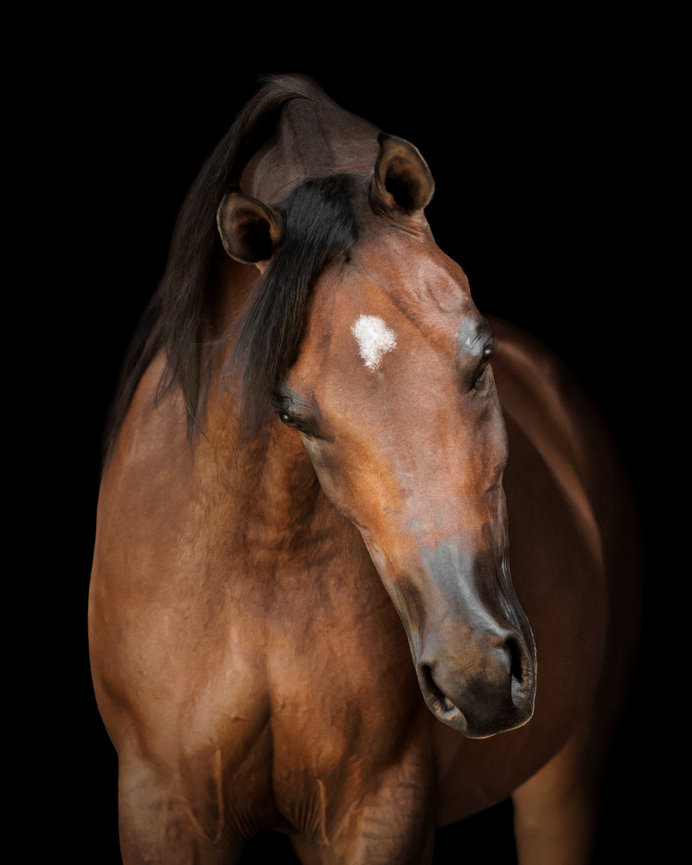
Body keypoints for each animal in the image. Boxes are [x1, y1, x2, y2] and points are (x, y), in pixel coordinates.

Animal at [88, 73, 641, 864]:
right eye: (293, 412)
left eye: (481, 355)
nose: (477, 675)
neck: (261, 565)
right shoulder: (163, 809)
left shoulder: (378, 810)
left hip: (566, 777)